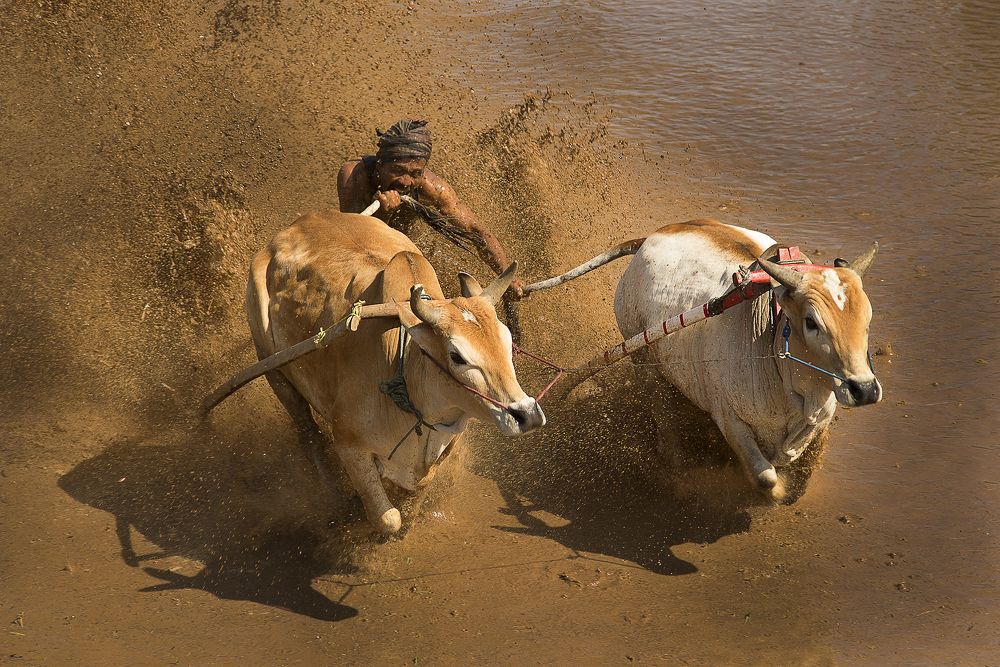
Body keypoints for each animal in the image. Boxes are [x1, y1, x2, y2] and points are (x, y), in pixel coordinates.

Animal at [246, 211, 545, 534]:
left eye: (507, 340)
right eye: (457, 356)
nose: (527, 415)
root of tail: (293, 227)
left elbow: (415, 494)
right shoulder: (348, 445)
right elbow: (388, 519)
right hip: (274, 371)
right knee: (307, 431)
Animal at [614, 219, 881, 501]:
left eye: (867, 318)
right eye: (811, 322)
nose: (865, 389)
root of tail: (652, 236)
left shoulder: (821, 419)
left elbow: (799, 473)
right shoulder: (730, 420)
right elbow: (765, 476)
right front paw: (776, 491)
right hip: (642, 360)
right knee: (663, 414)